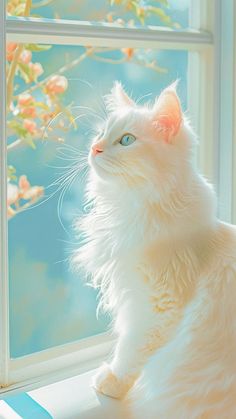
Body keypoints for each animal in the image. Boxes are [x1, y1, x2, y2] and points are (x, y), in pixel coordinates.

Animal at [72, 82, 236, 419]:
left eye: (126, 140)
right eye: (101, 134)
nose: (94, 149)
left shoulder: (157, 304)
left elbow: (130, 349)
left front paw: (111, 382)